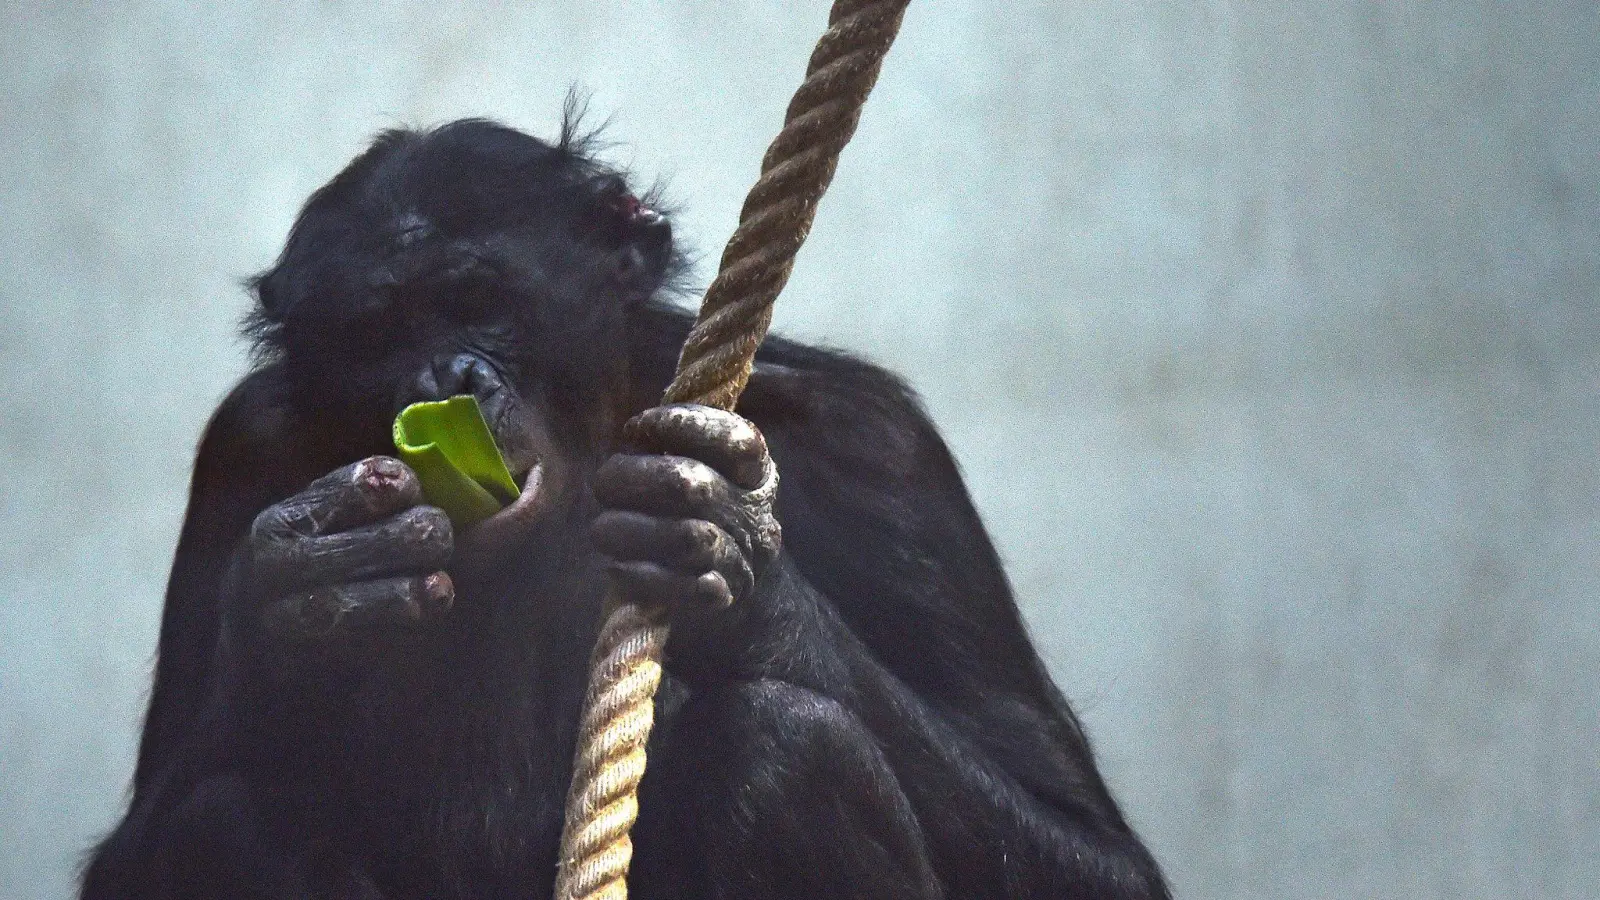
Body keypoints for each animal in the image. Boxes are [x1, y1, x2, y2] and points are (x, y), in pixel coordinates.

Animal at [81, 113, 1171, 896]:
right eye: (375, 332)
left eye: (476, 298)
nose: (444, 377)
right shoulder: (242, 448)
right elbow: (151, 837)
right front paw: (302, 595)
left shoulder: (877, 448)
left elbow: (1086, 847)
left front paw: (732, 562)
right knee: (225, 817)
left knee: (785, 746)